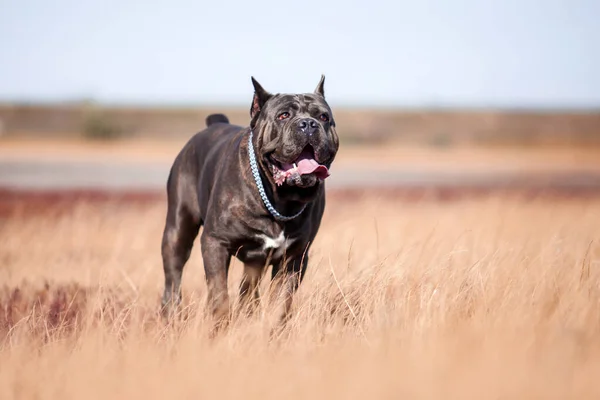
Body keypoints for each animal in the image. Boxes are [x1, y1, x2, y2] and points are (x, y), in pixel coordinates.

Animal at [161, 76, 338, 328]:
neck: (280, 198)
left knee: (248, 291)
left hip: (255, 264)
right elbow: (219, 294)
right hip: (178, 230)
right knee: (173, 275)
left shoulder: (294, 258)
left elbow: (281, 302)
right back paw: (171, 315)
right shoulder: (215, 243)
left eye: (323, 117)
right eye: (283, 115)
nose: (308, 124)